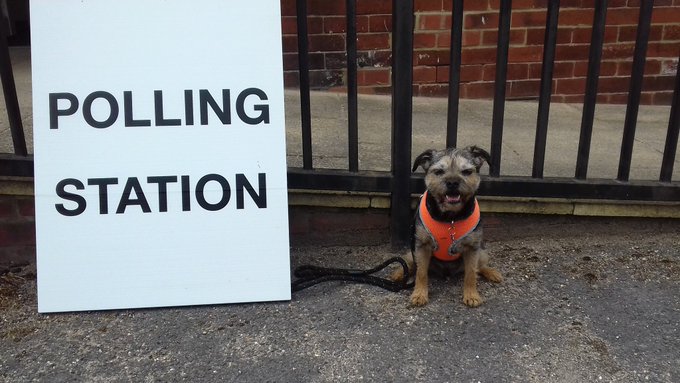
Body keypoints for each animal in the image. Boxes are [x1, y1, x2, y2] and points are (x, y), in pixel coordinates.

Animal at [390, 146, 502, 308]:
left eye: (466, 171)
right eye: (439, 171)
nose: (452, 182)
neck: (450, 218)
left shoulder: (472, 249)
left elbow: (471, 274)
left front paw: (471, 295)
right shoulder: (422, 247)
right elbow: (421, 273)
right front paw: (419, 294)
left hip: (481, 253)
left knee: (480, 267)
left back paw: (492, 273)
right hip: (413, 251)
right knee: (409, 263)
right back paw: (399, 273)